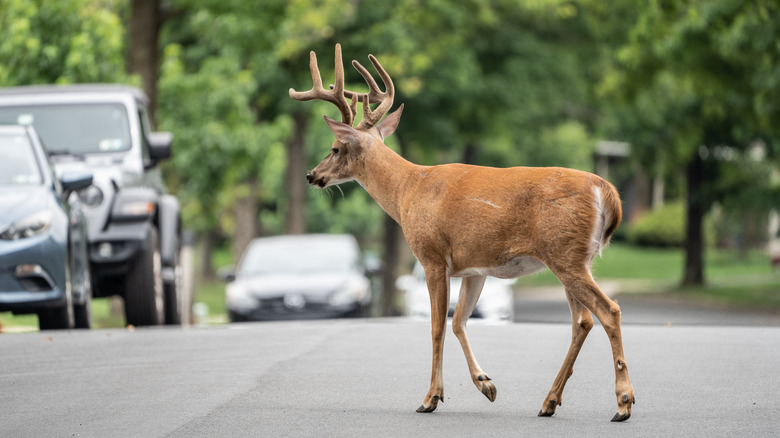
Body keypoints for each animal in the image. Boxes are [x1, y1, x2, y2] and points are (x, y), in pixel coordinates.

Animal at [290, 43, 636, 420]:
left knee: (608, 310)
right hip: (574, 257)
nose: (311, 175)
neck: (407, 191)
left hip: (565, 254)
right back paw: (549, 401)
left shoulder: (432, 257)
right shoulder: (474, 267)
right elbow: (459, 321)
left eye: (335, 147)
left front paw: (430, 398)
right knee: (582, 321)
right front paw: (486, 384)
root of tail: (607, 191)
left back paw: (623, 401)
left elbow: (436, 326)